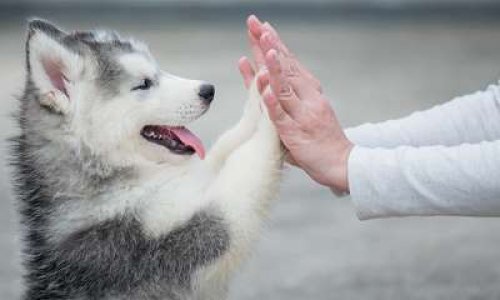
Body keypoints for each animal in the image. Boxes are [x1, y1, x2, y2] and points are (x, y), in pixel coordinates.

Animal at [11, 19, 284, 300]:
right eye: (143, 84)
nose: (209, 90)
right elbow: (246, 165)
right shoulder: (187, 237)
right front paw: (274, 105)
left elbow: (225, 146)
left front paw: (260, 89)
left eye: (158, 70)